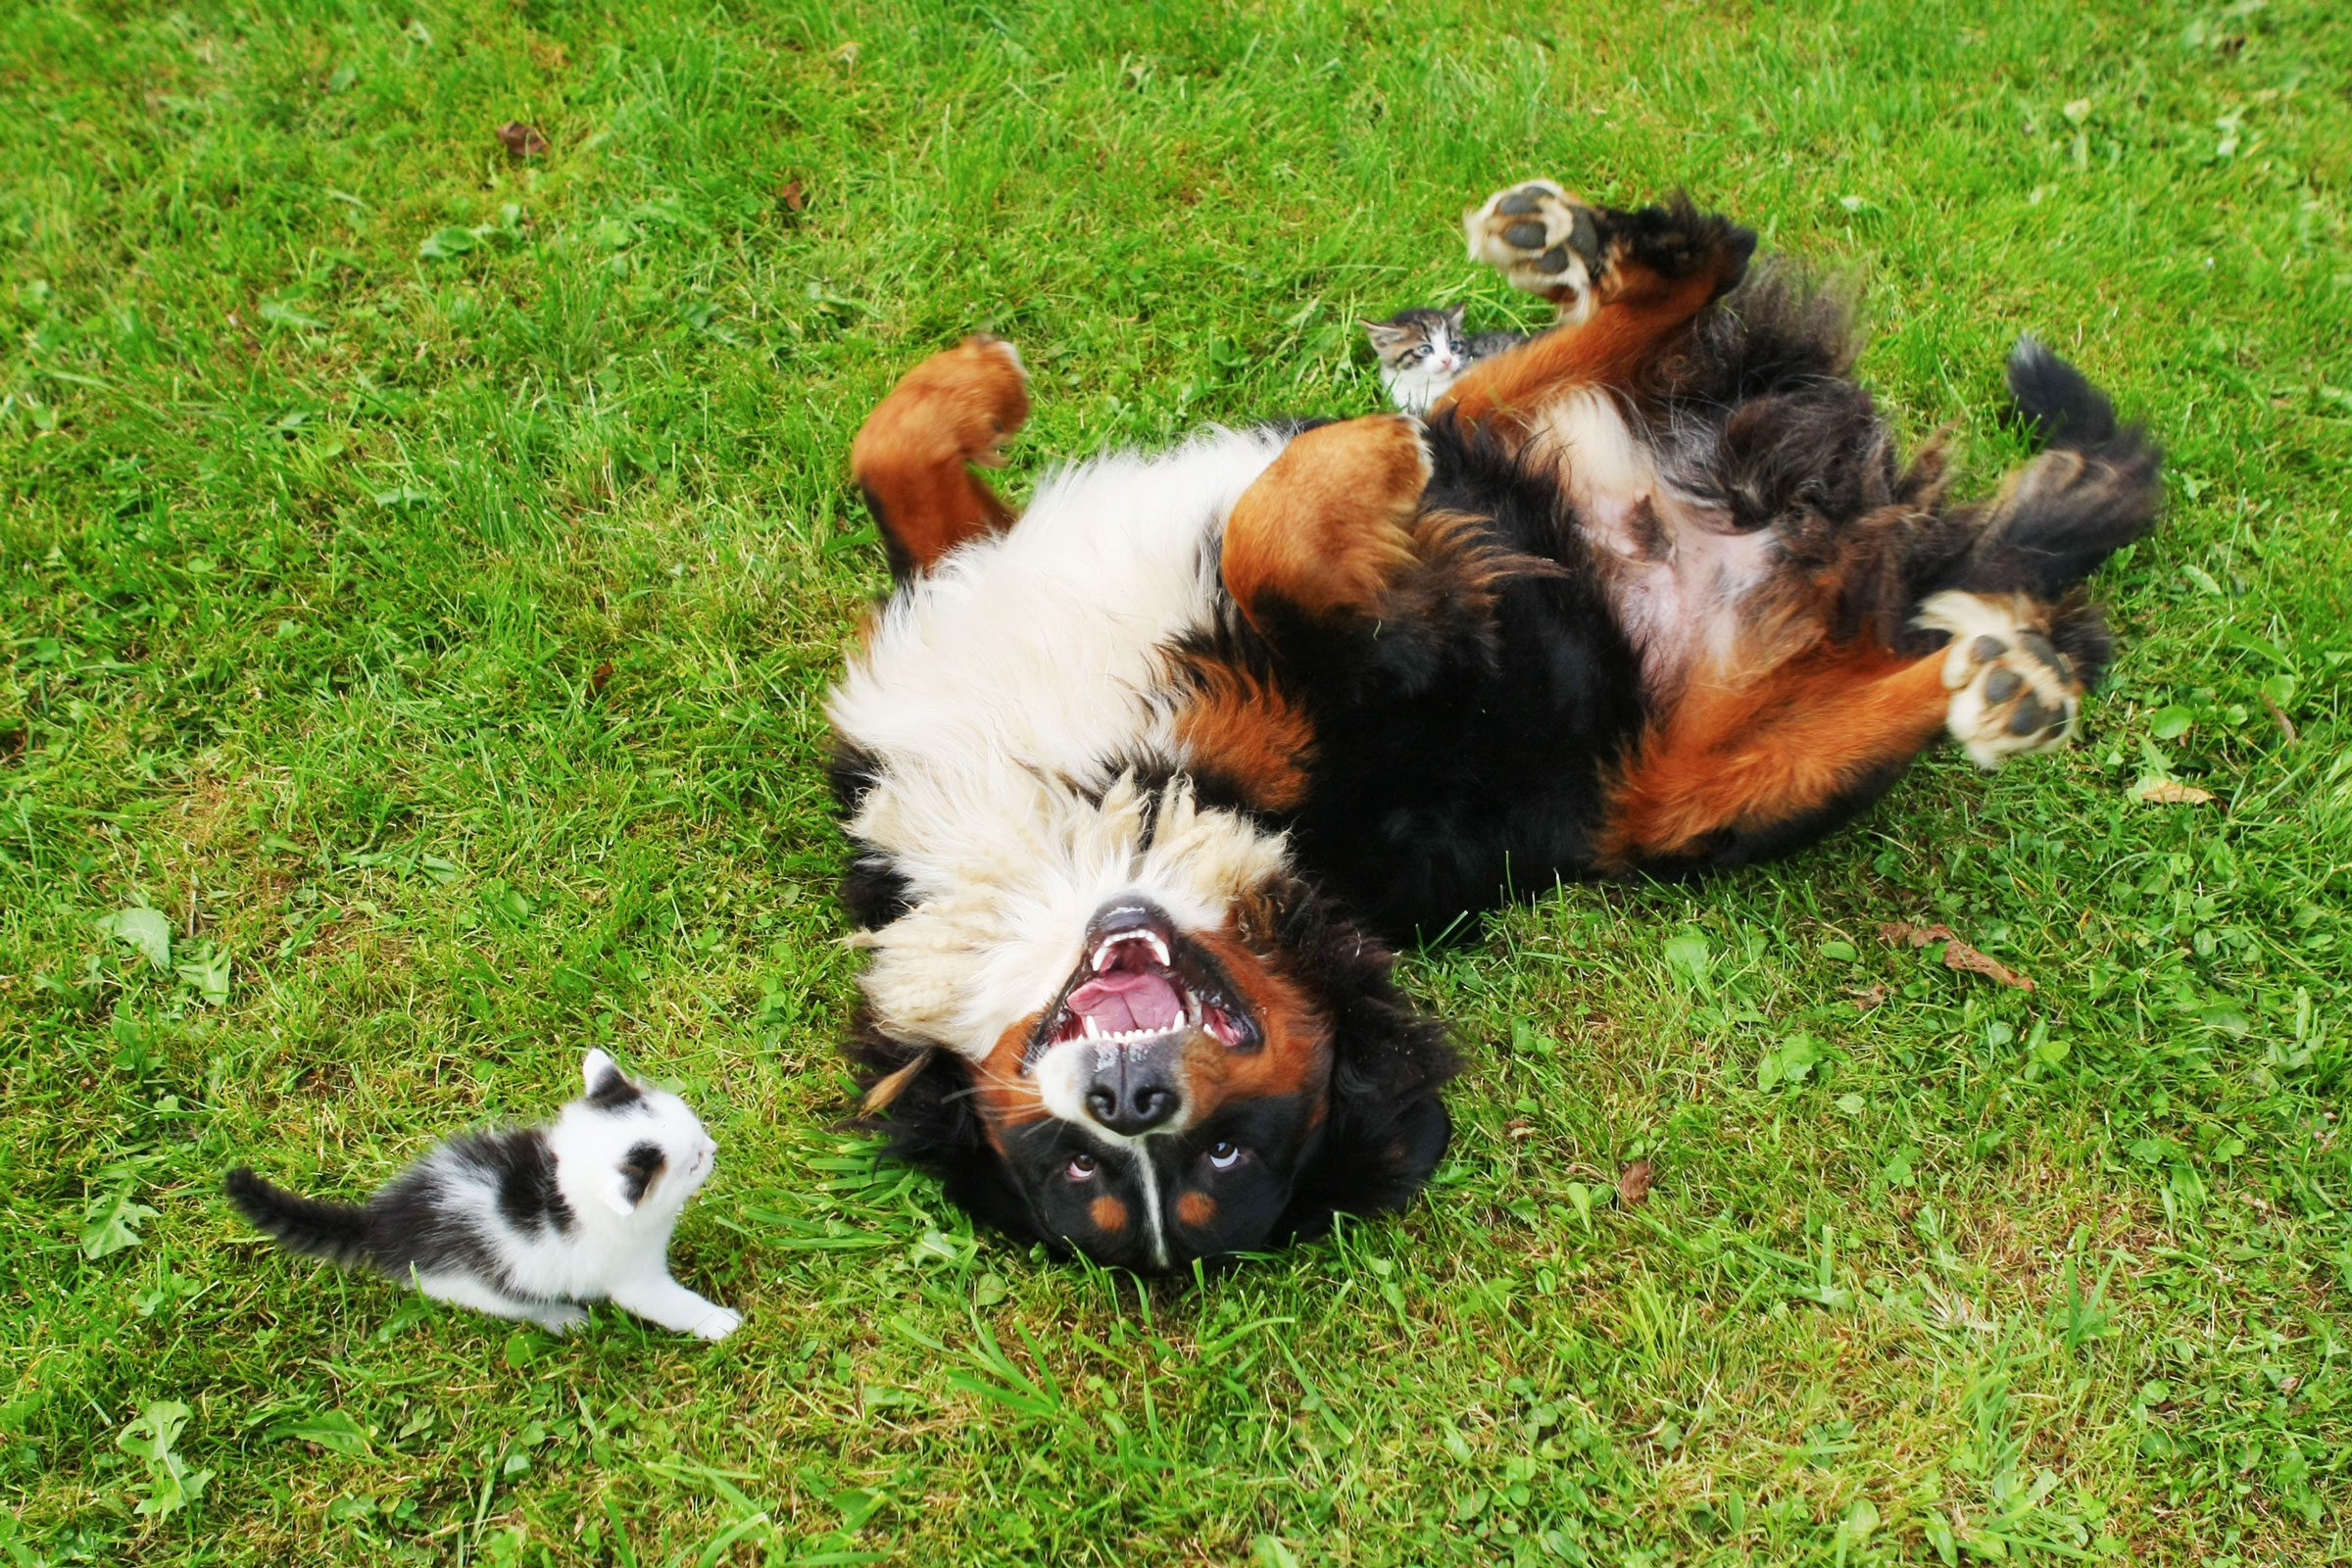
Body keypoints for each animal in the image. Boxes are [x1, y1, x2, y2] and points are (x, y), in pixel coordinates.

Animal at [221, 1048, 733, 1345]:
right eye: (692, 1163)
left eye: (697, 1130)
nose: (713, 1148)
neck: (558, 1187)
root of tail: (383, 1223)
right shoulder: (629, 1273)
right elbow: (667, 1304)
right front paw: (718, 1323)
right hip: (477, 1284)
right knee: (518, 1307)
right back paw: (563, 1318)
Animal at [827, 180, 2164, 1278]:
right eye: (1084, 1172)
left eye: (1219, 1156)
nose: (1132, 1094)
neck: (1085, 821)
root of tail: (1823, 553)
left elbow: (903, 446)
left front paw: (985, 380)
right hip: (1689, 801)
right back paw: (2012, 674)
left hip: (1548, 459)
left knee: (1561, 355)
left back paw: (1567, 256)